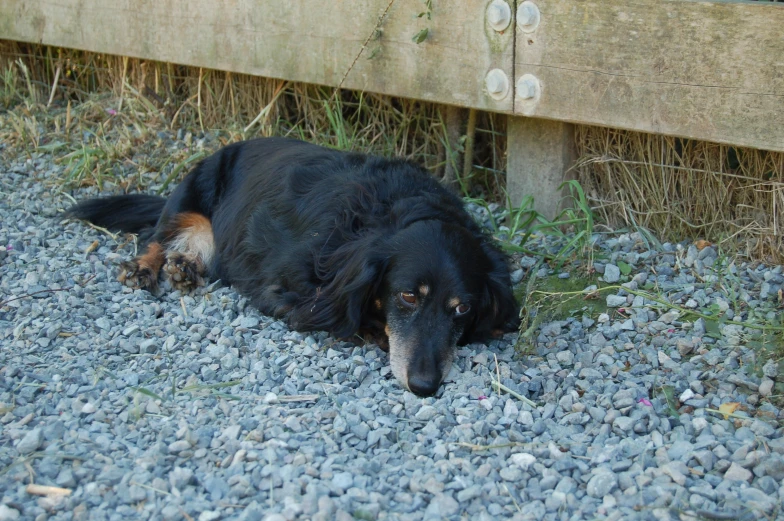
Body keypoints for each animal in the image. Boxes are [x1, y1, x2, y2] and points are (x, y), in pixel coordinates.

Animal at [69, 138, 520, 394]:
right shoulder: (288, 295)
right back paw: (145, 267)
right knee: (159, 233)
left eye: (462, 308)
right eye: (408, 296)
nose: (425, 386)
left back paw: (186, 265)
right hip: (191, 190)